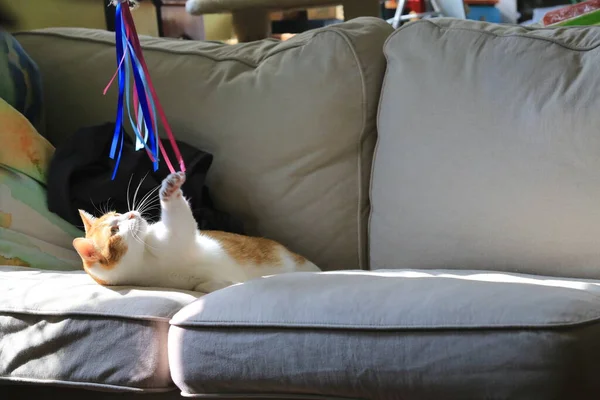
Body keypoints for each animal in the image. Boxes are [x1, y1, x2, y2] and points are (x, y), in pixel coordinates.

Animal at [72, 171, 322, 290]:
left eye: (118, 213)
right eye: (115, 229)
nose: (132, 214)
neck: (146, 255)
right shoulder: (178, 238)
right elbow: (205, 284)